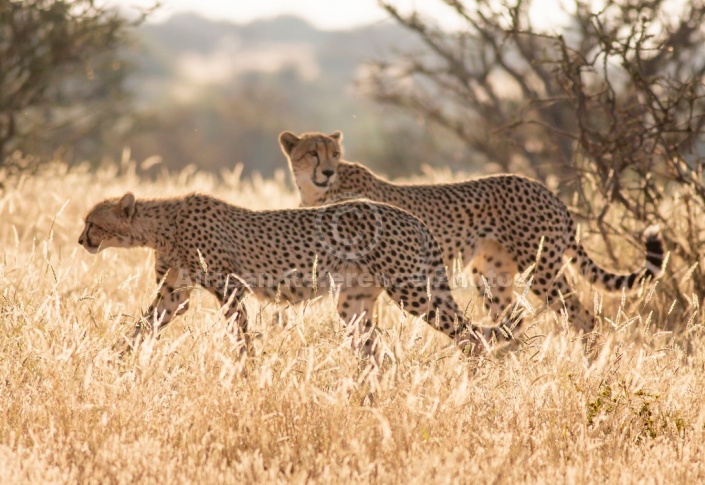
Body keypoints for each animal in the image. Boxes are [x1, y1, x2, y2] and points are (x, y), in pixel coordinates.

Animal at [80, 191, 490, 358]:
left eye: (91, 223)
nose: (81, 239)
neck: (163, 223)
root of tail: (410, 216)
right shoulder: (175, 293)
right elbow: (143, 324)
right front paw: (112, 358)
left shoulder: (229, 288)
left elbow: (240, 334)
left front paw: (247, 371)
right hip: (354, 301)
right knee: (372, 350)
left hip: (412, 290)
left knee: (470, 333)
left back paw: (476, 374)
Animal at [278, 130, 664, 338]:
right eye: (312, 153)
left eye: (334, 154)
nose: (327, 171)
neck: (319, 191)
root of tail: (545, 189)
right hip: (490, 274)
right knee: (515, 318)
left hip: (540, 269)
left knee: (583, 315)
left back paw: (590, 364)